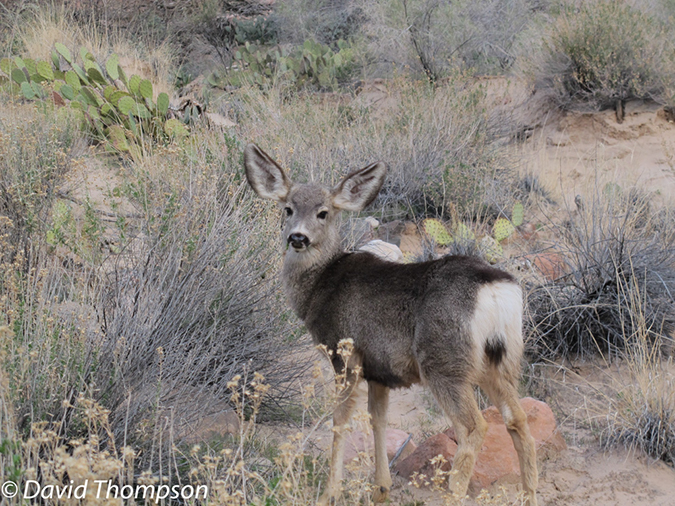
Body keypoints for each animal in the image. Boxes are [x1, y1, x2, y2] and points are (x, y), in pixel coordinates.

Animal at [243, 144, 540, 504]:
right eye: (288, 209)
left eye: (323, 213)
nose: (298, 237)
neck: (320, 284)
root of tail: (495, 289)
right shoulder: (379, 370)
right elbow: (378, 420)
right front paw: (381, 488)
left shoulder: (345, 353)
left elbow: (340, 420)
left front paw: (330, 492)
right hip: (501, 360)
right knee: (518, 419)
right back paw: (530, 493)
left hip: (444, 361)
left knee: (474, 426)